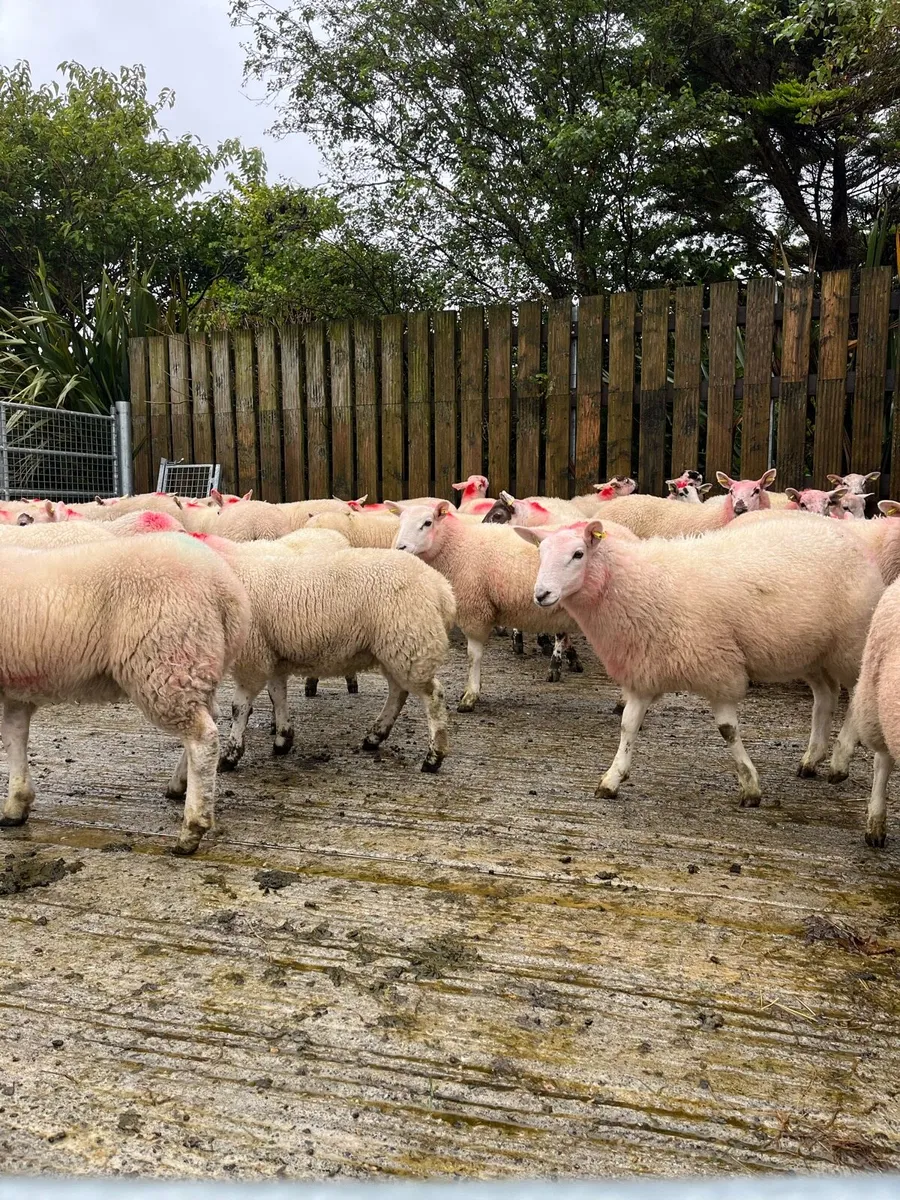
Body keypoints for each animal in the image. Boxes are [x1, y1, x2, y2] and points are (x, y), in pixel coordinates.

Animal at [0, 534, 250, 854]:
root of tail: (226, 588)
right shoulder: (18, 687)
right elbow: (14, 736)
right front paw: (16, 804)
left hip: (166, 660)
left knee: (202, 737)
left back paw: (191, 830)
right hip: (194, 666)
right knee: (208, 720)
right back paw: (179, 784)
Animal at [186, 536, 454, 773]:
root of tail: (441, 588)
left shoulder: (253, 660)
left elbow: (239, 708)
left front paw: (230, 756)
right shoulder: (273, 655)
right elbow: (277, 696)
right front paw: (283, 740)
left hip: (411, 642)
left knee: (433, 696)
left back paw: (433, 757)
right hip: (394, 648)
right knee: (399, 691)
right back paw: (374, 736)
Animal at [515, 517, 882, 805]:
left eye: (578, 554)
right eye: (540, 552)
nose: (541, 594)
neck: (637, 584)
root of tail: (848, 536)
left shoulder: (718, 668)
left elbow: (727, 730)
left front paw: (750, 786)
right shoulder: (645, 668)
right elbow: (628, 726)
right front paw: (612, 779)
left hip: (852, 643)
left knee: (855, 696)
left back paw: (840, 760)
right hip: (811, 653)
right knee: (825, 697)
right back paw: (812, 759)